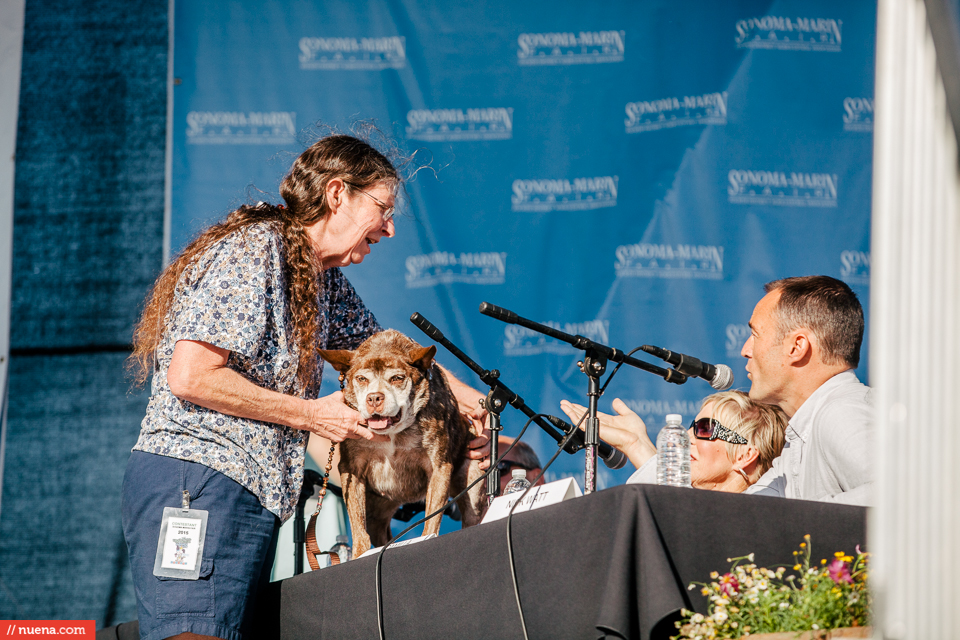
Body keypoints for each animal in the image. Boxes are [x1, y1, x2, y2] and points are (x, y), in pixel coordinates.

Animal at [320, 330, 488, 556]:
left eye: (397, 378)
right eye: (361, 379)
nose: (374, 398)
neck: (394, 432)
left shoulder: (439, 467)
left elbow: (432, 519)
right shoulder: (351, 469)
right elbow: (359, 528)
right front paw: (358, 555)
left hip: (472, 482)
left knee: (471, 515)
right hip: (376, 505)